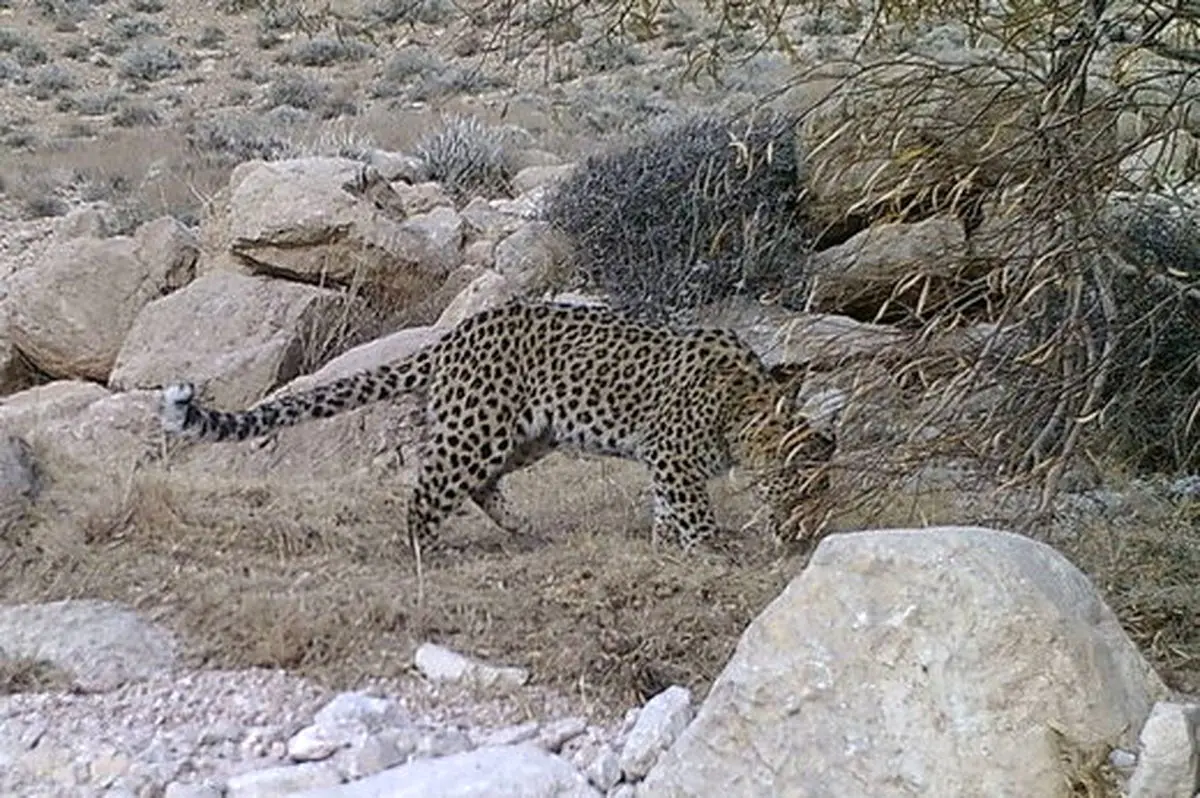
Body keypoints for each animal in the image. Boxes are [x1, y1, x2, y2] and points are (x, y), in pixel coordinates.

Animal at [157, 297, 844, 554]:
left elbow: (667, 509)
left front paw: (666, 545)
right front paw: (716, 549)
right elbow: (693, 509)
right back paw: (428, 552)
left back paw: (525, 528)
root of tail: (455, 333)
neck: (745, 406)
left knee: (480, 485)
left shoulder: (663, 463)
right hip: (479, 428)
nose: (811, 530)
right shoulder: (672, 453)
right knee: (427, 489)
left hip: (526, 434)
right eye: (804, 487)